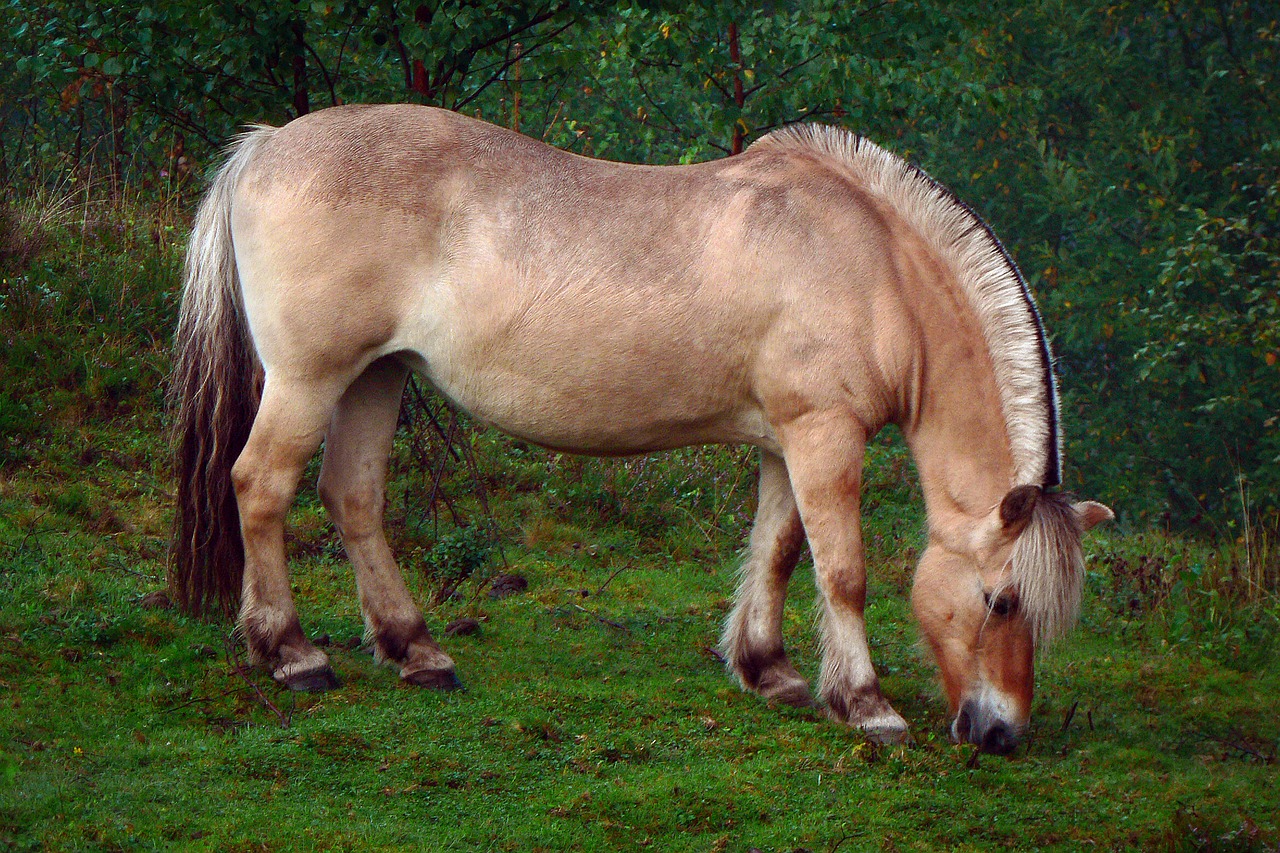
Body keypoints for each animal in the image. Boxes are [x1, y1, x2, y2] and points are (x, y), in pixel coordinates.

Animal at [170, 104, 1111, 753]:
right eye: (1000, 598)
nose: (1001, 733)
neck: (871, 263)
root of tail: (265, 146)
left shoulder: (783, 442)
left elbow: (777, 549)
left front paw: (767, 668)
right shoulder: (824, 434)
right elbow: (841, 570)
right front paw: (866, 703)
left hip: (377, 376)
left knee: (353, 497)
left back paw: (417, 651)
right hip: (310, 379)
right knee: (262, 486)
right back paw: (291, 653)